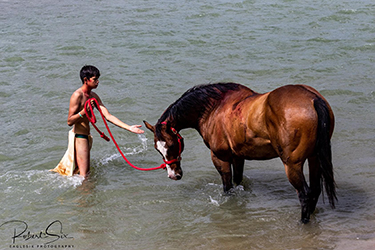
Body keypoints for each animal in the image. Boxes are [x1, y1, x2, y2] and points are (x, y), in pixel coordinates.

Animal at [144, 83, 338, 224]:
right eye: (157, 148)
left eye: (171, 145)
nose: (173, 174)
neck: (213, 108)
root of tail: (313, 99)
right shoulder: (238, 156)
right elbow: (238, 181)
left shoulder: (220, 157)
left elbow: (227, 186)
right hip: (314, 159)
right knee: (315, 190)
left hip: (292, 165)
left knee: (305, 194)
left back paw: (303, 222)